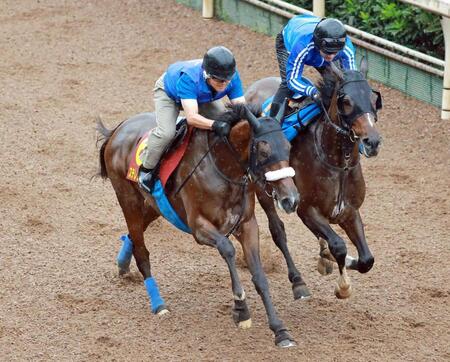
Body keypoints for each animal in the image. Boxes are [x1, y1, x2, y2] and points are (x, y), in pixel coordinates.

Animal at [97, 103, 302, 346]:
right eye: (264, 151)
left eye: (288, 147)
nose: (291, 199)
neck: (222, 167)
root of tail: (118, 130)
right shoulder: (199, 227)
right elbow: (227, 249)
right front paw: (241, 309)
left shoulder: (248, 224)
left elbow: (259, 276)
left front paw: (280, 330)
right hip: (127, 199)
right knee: (142, 251)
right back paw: (158, 304)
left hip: (156, 205)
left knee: (134, 234)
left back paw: (123, 263)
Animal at [246, 60, 384, 300]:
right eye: (347, 101)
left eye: (373, 99)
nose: (372, 141)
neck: (337, 164)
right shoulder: (307, 209)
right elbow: (339, 245)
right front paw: (343, 285)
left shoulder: (350, 211)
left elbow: (367, 259)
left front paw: (332, 258)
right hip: (262, 190)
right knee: (278, 231)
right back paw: (298, 282)